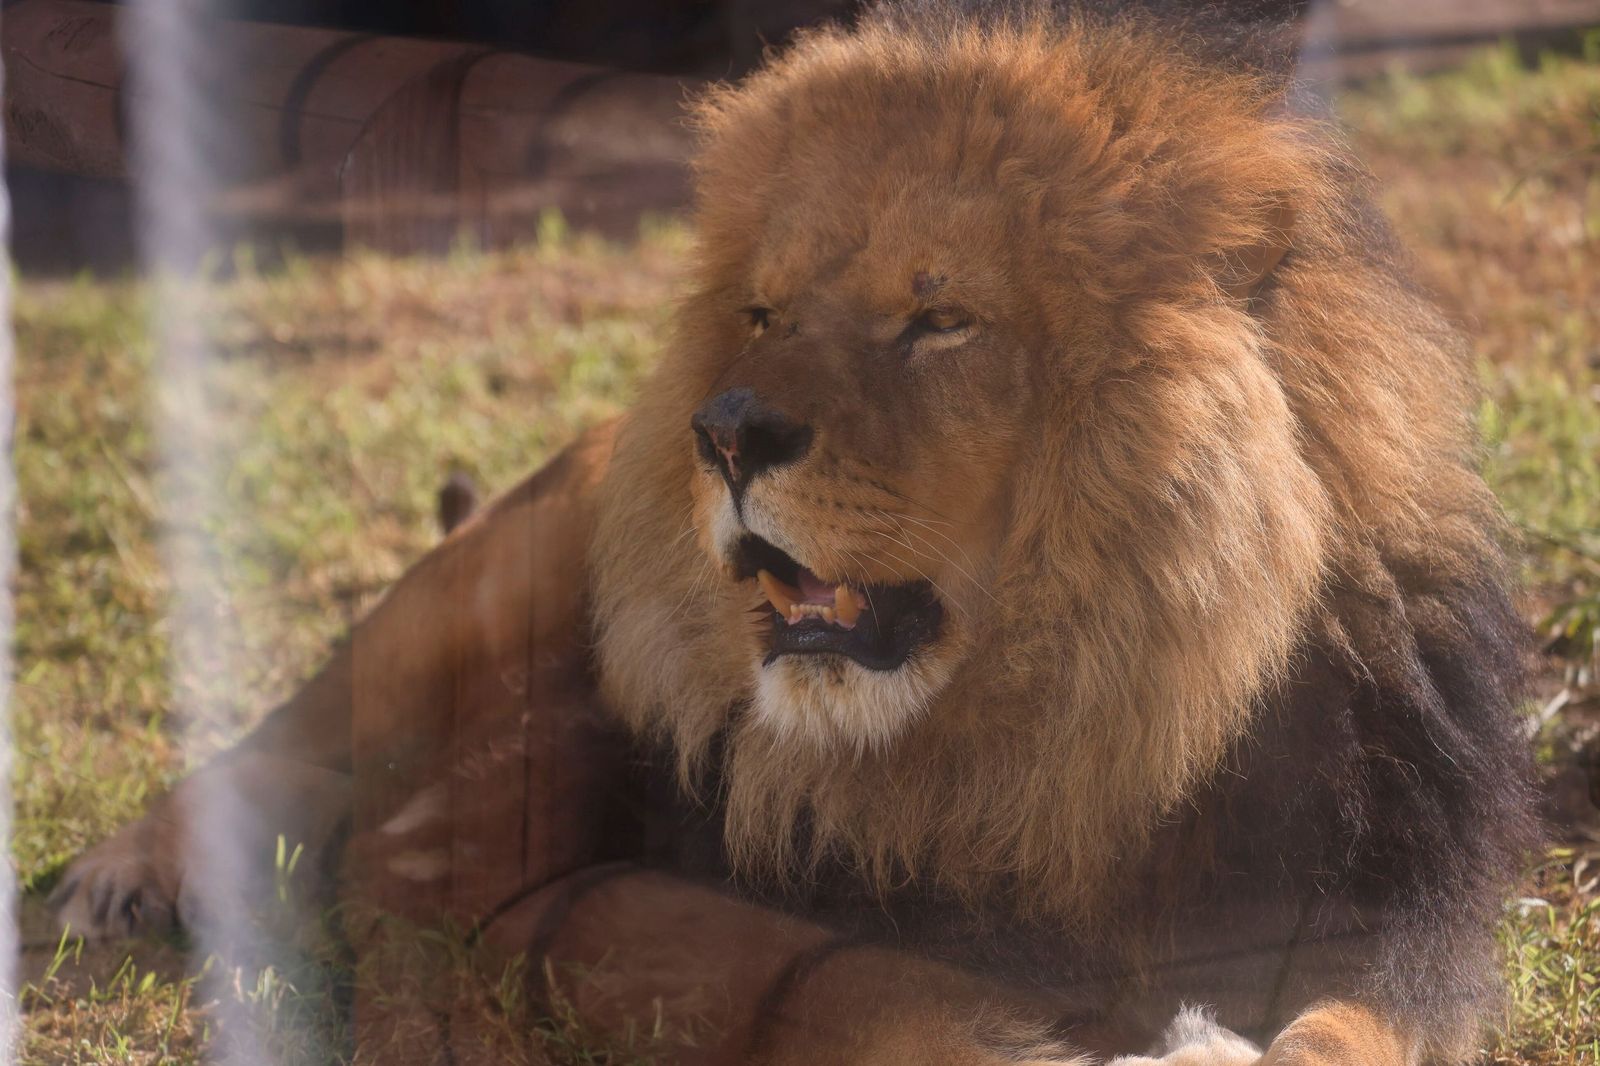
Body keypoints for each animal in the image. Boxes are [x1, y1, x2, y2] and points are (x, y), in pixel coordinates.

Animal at [52, 3, 1536, 1064]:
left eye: (940, 319)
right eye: (764, 312)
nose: (722, 432)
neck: (1061, 746)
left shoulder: (1396, 903)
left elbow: (1352, 1030)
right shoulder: (555, 889)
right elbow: (838, 977)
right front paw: (1037, 1038)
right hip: (476, 587)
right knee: (289, 734)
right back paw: (123, 877)